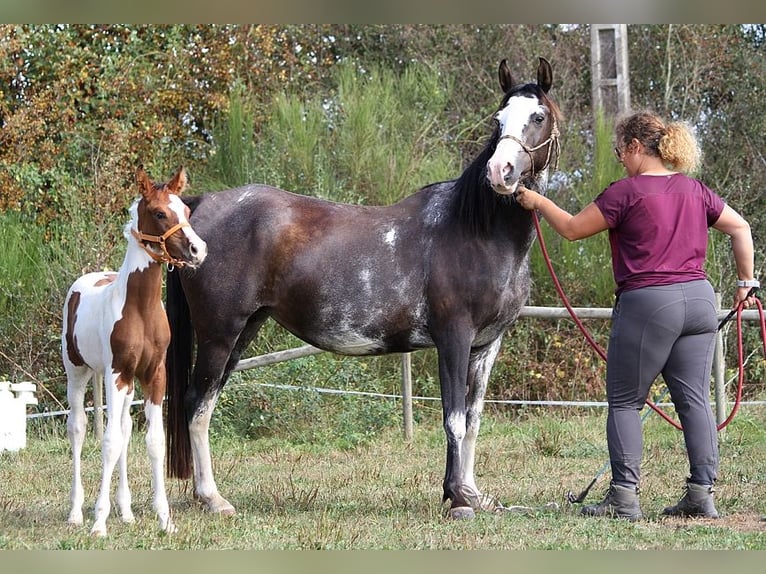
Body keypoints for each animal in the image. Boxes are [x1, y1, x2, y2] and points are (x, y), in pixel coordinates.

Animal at [62, 168, 207, 540]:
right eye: (159, 213)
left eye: (186, 211)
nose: (198, 250)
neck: (140, 310)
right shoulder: (117, 374)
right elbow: (110, 441)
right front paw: (99, 521)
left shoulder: (154, 375)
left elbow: (153, 441)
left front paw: (165, 519)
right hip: (78, 373)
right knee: (79, 428)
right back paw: (76, 513)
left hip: (127, 386)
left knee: (126, 427)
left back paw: (126, 512)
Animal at [168, 58, 564, 520]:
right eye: (498, 120)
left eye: (537, 117)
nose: (500, 174)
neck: (476, 229)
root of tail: (201, 205)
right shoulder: (454, 337)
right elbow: (453, 418)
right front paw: (456, 498)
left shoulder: (486, 345)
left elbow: (474, 419)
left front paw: (472, 492)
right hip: (219, 332)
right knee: (197, 404)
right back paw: (213, 498)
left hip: (244, 330)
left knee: (204, 402)